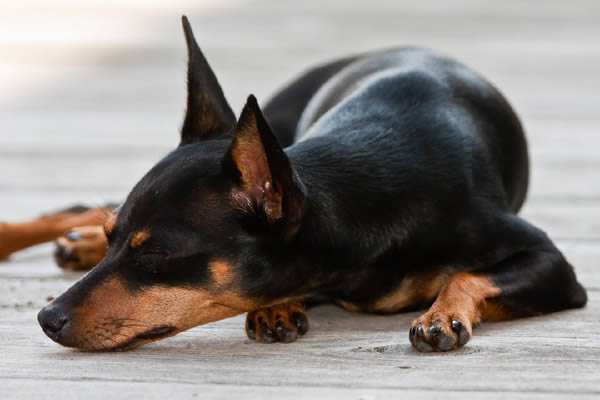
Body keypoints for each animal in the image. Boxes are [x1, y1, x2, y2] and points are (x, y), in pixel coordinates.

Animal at [27, 17, 592, 352]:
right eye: (115, 239)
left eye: (158, 255)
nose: (47, 318)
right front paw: (278, 303)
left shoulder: (553, 265)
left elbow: (467, 275)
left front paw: (442, 315)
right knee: (77, 207)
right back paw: (59, 237)